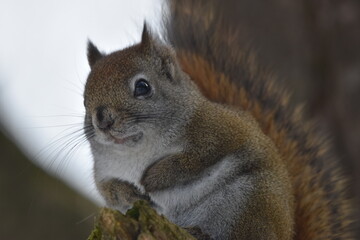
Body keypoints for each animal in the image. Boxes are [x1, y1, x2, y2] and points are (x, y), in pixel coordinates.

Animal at [83, 0, 354, 240]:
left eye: (142, 87)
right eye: (85, 98)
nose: (103, 120)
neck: (137, 153)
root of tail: (287, 232)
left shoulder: (219, 130)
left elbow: (193, 160)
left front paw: (153, 178)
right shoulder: (103, 169)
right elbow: (106, 188)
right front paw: (127, 192)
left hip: (250, 202)